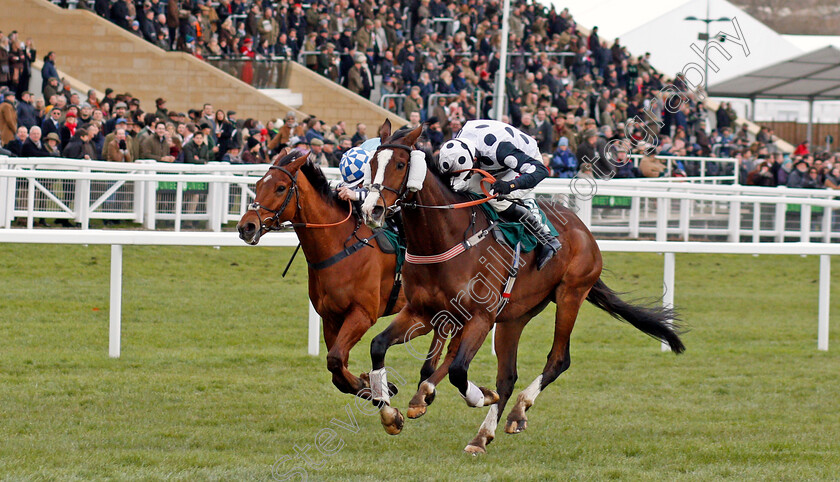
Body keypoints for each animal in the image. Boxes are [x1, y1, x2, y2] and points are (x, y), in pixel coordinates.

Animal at [360, 120, 684, 452]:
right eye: (371, 163)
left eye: (400, 164)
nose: (372, 210)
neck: (445, 238)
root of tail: (584, 231)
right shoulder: (423, 313)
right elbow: (379, 346)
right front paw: (390, 413)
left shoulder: (480, 317)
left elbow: (459, 371)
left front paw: (478, 395)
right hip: (514, 317)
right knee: (507, 376)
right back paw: (480, 434)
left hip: (570, 295)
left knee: (558, 360)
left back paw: (516, 410)